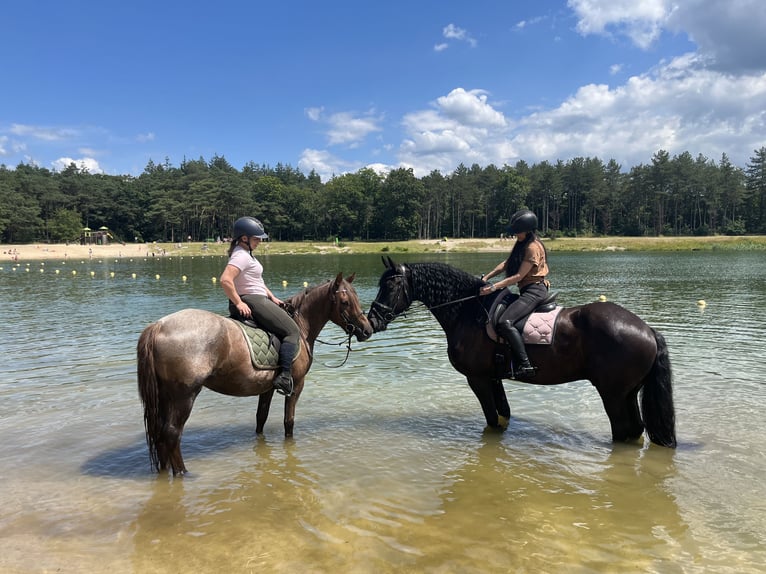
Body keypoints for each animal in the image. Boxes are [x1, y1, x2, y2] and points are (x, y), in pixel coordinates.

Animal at [140, 274, 376, 476]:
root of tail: (159, 326)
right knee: (171, 434)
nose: (367, 330)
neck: (301, 326)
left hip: (165, 396)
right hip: (184, 396)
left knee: (159, 435)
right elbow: (289, 422)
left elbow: (261, 418)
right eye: (345, 302)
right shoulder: (296, 385)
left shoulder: (267, 388)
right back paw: (182, 473)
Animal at [370, 258, 680, 452]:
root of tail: (647, 330)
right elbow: (503, 415)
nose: (373, 320)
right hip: (628, 393)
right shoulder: (494, 378)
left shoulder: (477, 379)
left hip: (613, 395)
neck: (467, 312)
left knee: (623, 431)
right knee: (636, 430)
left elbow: (492, 421)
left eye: (390, 286)